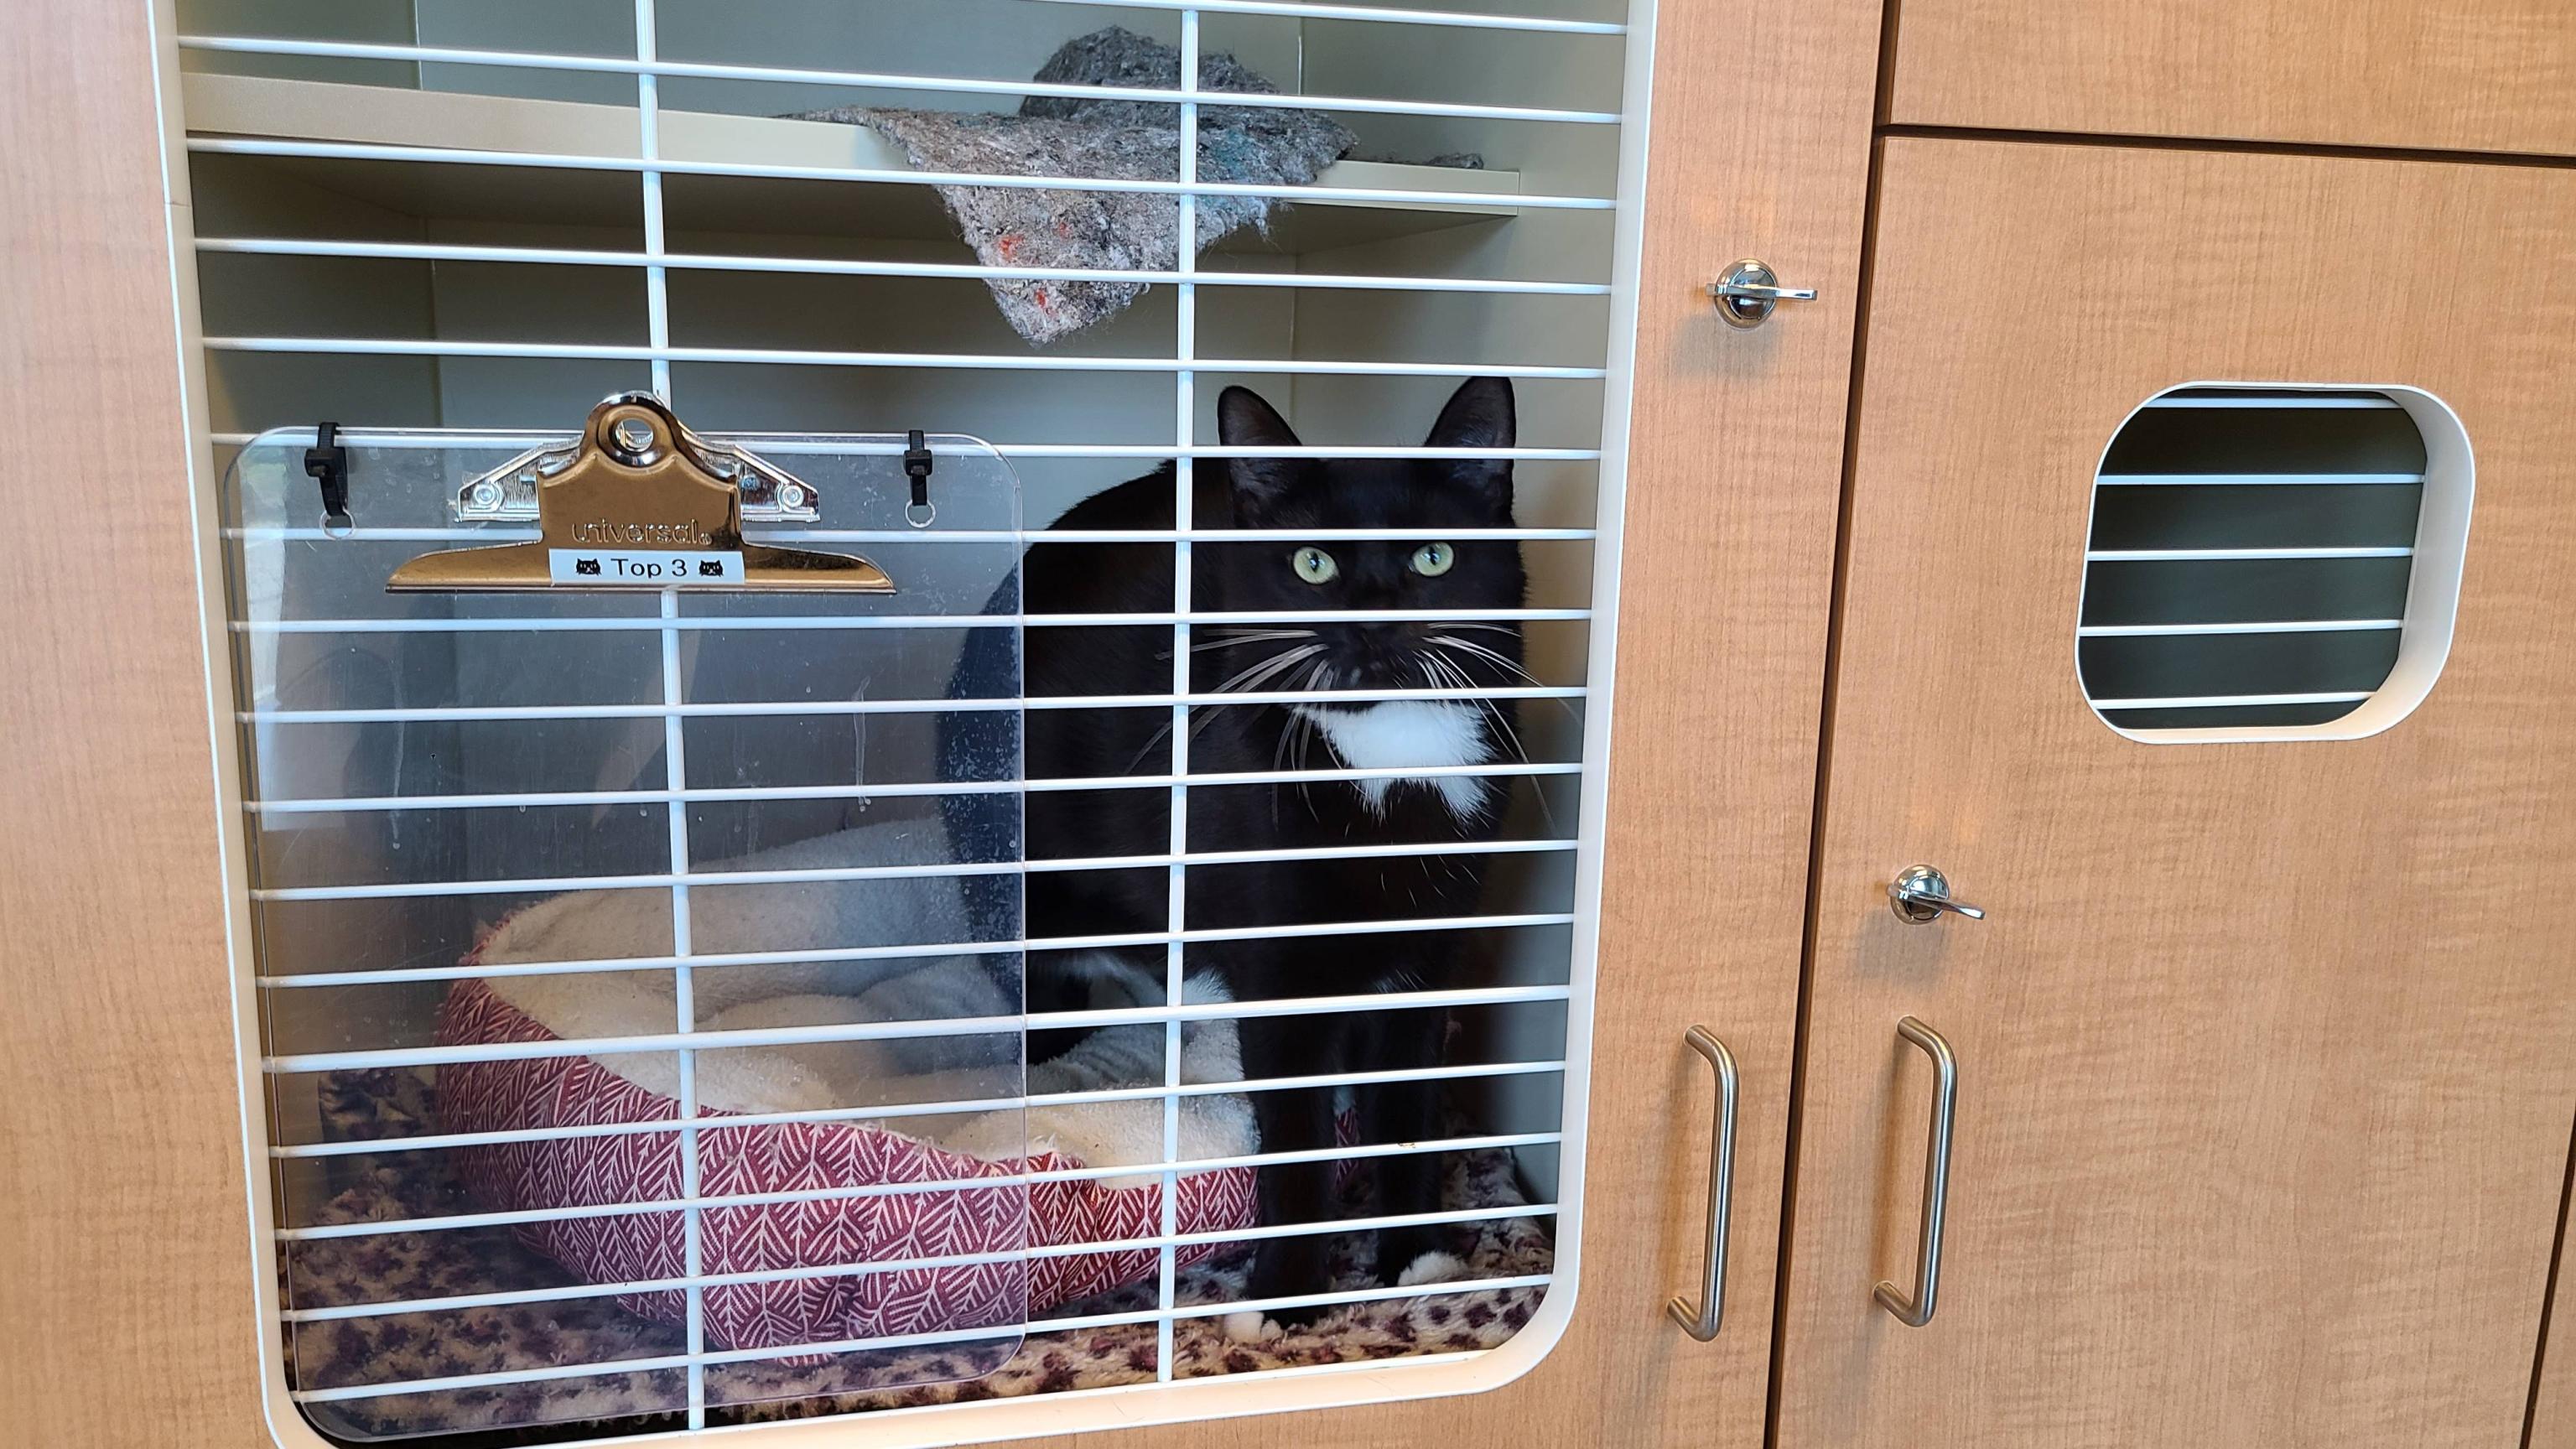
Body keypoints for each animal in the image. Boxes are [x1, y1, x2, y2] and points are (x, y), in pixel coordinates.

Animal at [963, 373, 1524, 1320]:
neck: (1388, 758)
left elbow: (1406, 1110)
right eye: (1312, 563)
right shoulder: (1280, 974)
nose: (1374, 618)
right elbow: (1295, 1134)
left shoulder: (1423, 966)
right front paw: (1288, 1295)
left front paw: (1415, 1257)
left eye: (1434, 557)